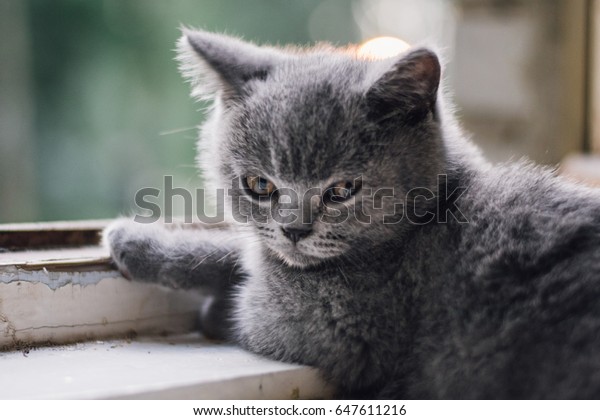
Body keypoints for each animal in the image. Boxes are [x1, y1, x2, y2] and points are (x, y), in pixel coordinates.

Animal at [104, 29, 600, 398]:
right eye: (260, 185)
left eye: (342, 190)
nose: (294, 230)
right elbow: (244, 250)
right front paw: (138, 243)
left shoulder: (339, 329)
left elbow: (248, 301)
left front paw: (206, 301)